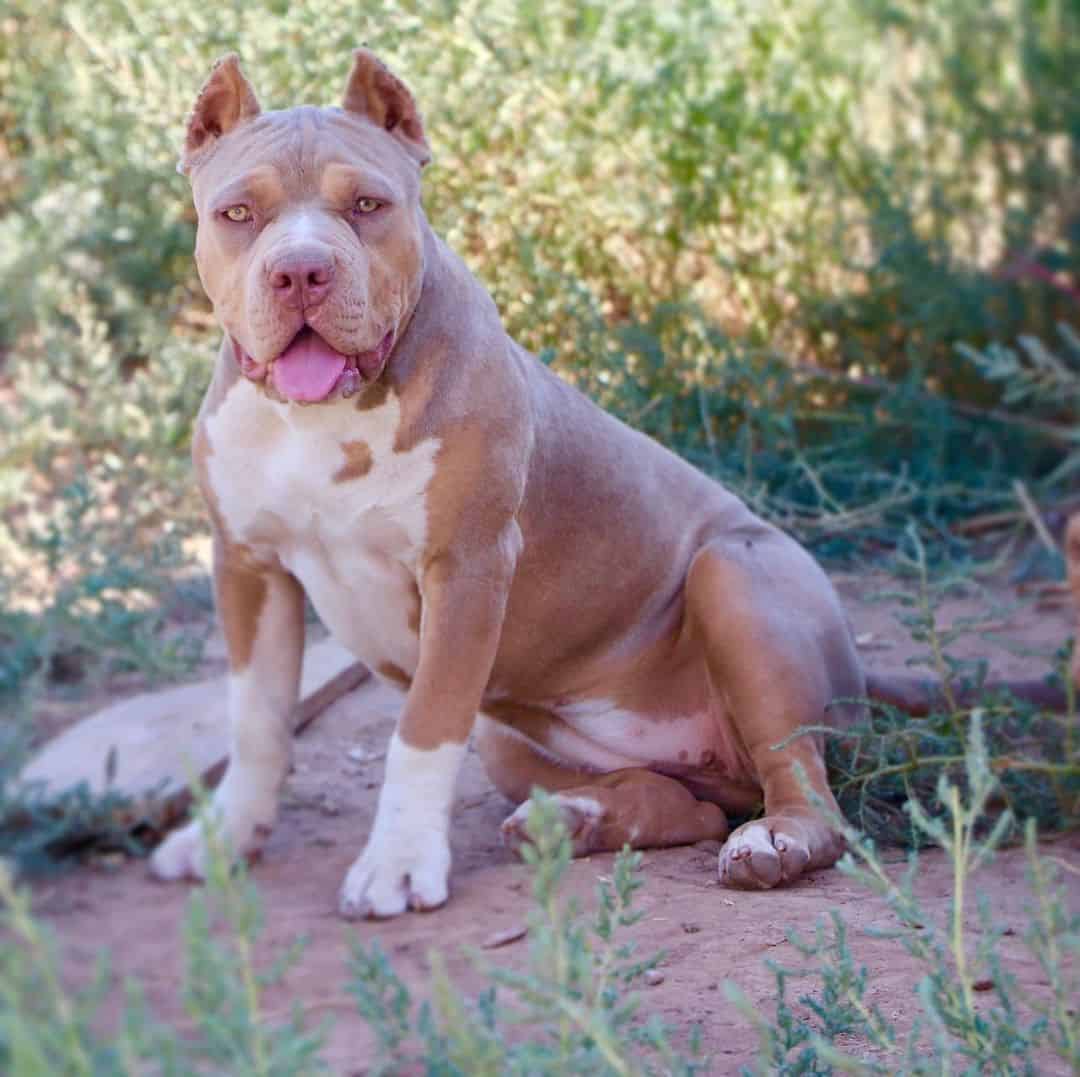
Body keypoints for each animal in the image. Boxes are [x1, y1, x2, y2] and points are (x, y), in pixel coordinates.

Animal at [152, 46, 864, 911]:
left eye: (367, 204)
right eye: (238, 214)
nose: (300, 271)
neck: (322, 417)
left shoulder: (467, 568)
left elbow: (422, 727)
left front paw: (397, 863)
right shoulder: (248, 564)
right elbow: (255, 719)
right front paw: (225, 837)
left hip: (735, 577)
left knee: (800, 782)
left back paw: (773, 842)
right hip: (514, 737)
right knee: (686, 802)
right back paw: (574, 819)